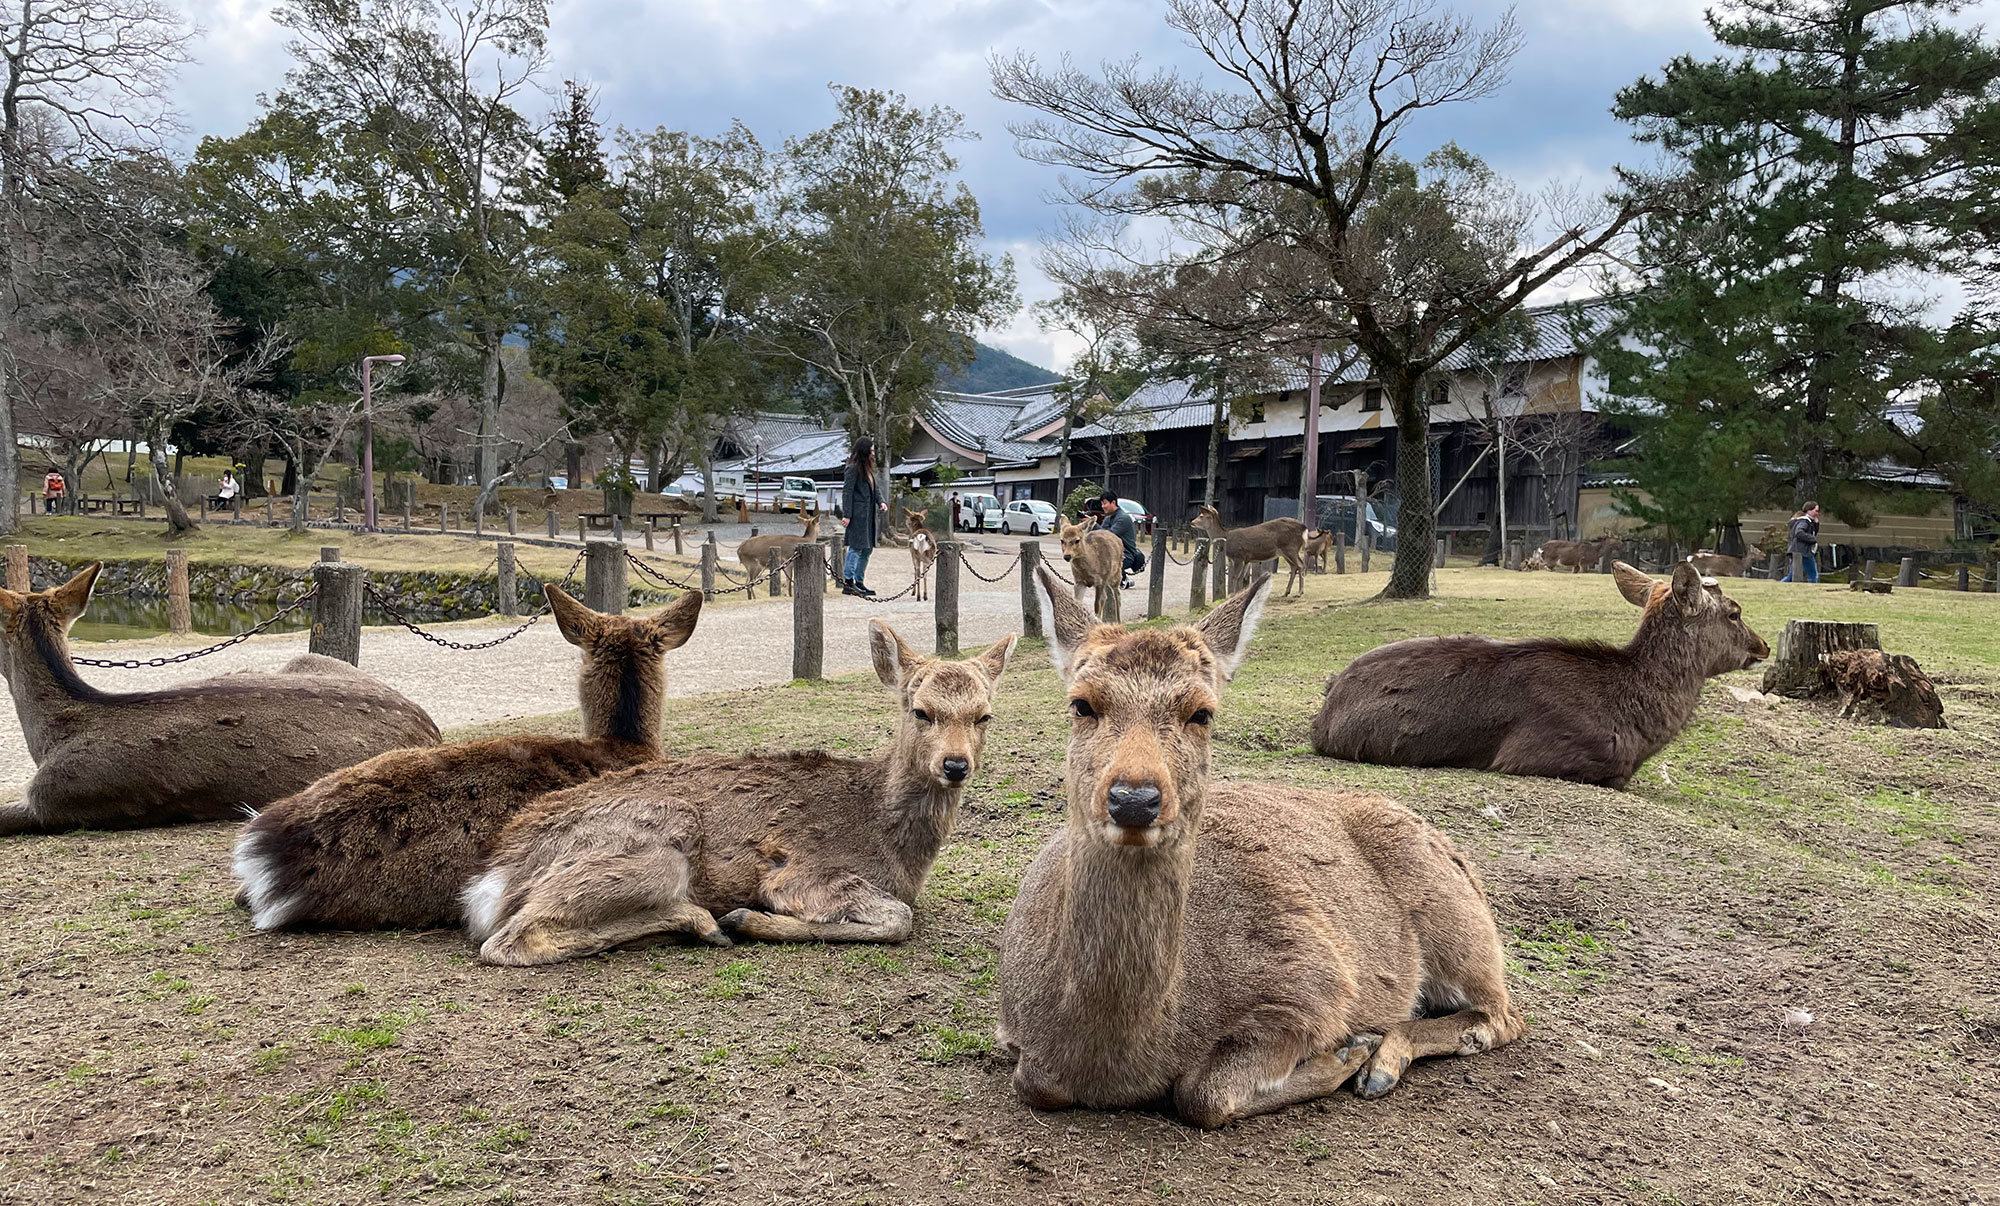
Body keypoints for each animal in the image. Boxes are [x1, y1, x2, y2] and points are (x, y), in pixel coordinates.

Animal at [459, 620, 1016, 966]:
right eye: (921, 711)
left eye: (985, 716)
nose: (955, 765)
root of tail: (495, 875)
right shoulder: (802, 873)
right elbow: (899, 918)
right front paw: (752, 918)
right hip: (658, 843)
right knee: (509, 940)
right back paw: (706, 921)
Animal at [997, 566, 1522, 1129]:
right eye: (1081, 704)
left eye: (1202, 713)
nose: (1134, 799)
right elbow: (1032, 1083)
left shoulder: (1312, 985)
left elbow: (1201, 1094)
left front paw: (1346, 1051)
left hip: (1456, 919)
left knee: (1503, 1013)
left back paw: (1379, 1062)